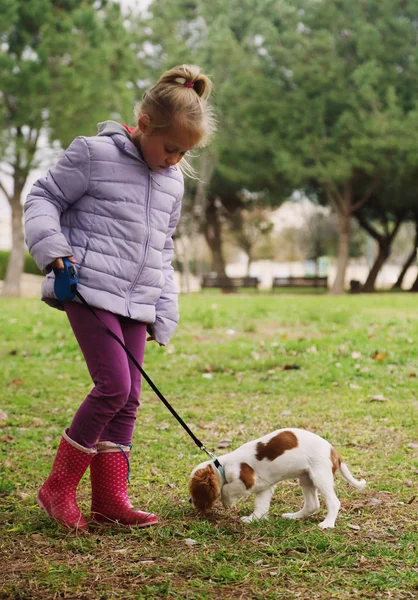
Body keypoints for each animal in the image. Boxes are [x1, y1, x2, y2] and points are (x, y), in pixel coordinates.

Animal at [189, 426, 366, 528]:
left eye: (193, 490)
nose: (191, 501)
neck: (222, 466)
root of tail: (334, 452)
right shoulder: (265, 487)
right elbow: (261, 506)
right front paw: (253, 519)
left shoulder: (246, 481)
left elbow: (226, 488)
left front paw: (227, 503)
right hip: (306, 478)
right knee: (312, 504)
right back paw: (293, 516)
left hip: (320, 475)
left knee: (334, 502)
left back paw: (328, 524)